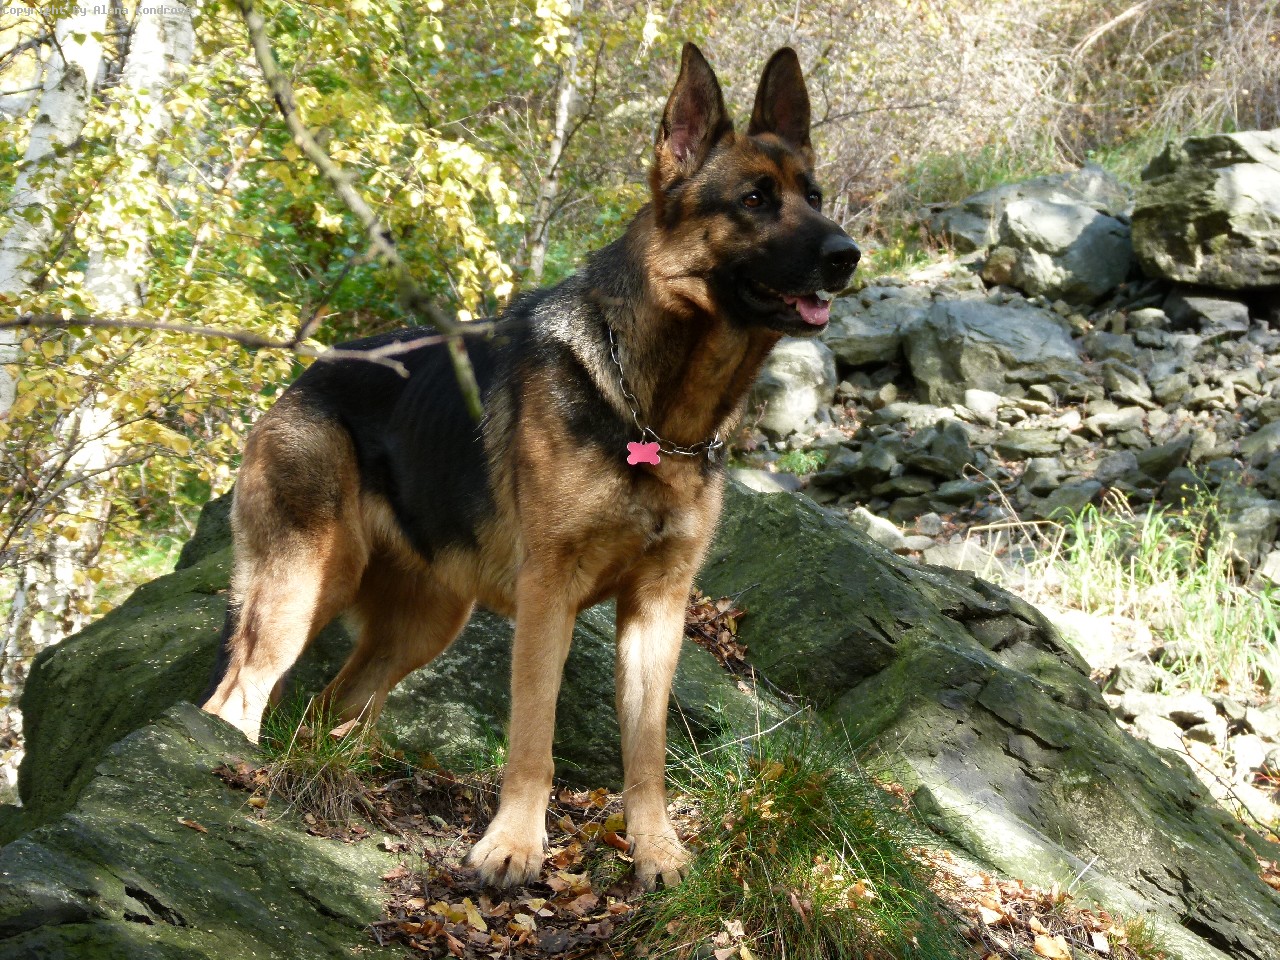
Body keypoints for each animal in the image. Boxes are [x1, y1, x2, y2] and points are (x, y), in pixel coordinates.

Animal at [201, 41, 859, 890]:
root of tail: (308, 371)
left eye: (814, 195)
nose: (847, 256)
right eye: (754, 198)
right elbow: (533, 738)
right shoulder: (550, 594)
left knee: (326, 707)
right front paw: (513, 845)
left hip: (424, 623)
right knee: (236, 701)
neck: (652, 410)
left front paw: (656, 850)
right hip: (303, 585)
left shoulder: (658, 608)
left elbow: (646, 751)